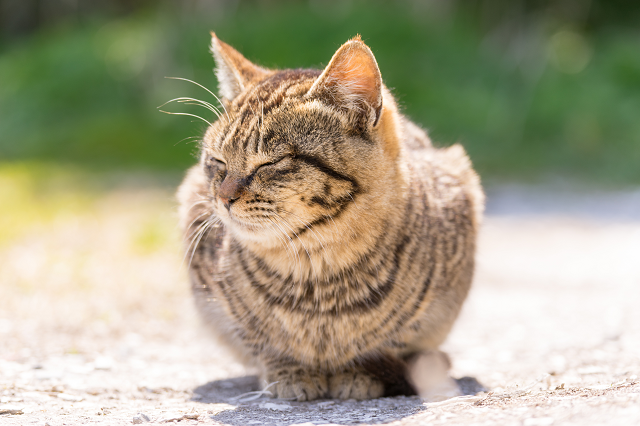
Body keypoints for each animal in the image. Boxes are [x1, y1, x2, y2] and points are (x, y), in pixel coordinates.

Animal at [178, 34, 482, 402]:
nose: (223, 198)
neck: (316, 277)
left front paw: (358, 372)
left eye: (271, 163)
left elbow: (390, 341)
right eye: (217, 161)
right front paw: (289, 370)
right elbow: (259, 339)